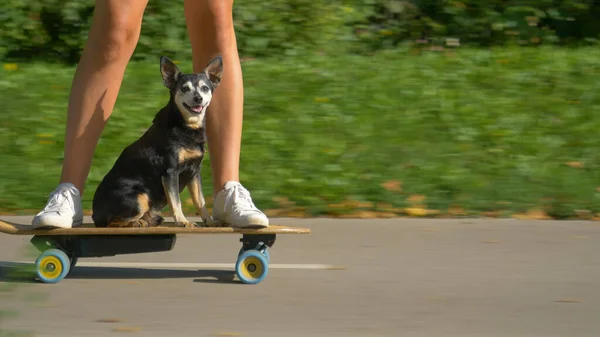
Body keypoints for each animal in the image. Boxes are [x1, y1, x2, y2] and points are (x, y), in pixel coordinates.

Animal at [92, 55, 224, 228]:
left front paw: (210, 221)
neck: (186, 127)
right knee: (112, 222)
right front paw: (182, 221)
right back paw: (138, 223)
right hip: (140, 197)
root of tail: (95, 214)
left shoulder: (194, 172)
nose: (198, 98)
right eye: (184, 88)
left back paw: (149, 219)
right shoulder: (170, 172)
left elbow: (199, 200)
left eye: (205, 88)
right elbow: (176, 201)